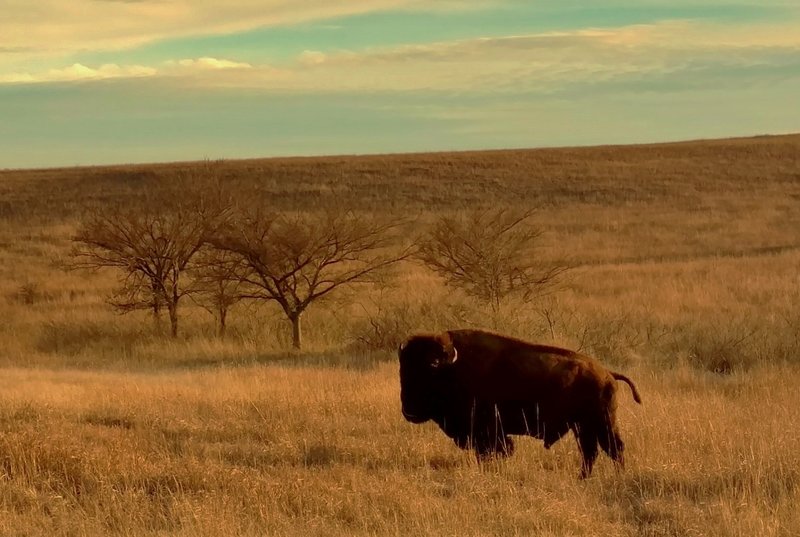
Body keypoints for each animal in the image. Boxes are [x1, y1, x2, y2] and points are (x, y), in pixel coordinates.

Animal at [400, 328, 644, 476]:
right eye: (403, 370)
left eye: (430, 368)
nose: (409, 411)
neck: (452, 368)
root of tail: (607, 373)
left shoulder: (489, 432)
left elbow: (495, 451)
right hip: (583, 427)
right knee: (591, 452)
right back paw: (582, 479)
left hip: (601, 423)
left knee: (613, 449)